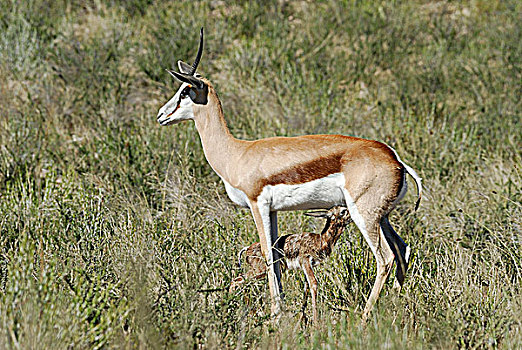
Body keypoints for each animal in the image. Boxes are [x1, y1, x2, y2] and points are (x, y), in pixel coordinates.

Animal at [156, 28, 420, 322]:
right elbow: (274, 252)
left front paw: (275, 315)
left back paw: (363, 319)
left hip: (364, 215)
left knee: (385, 258)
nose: (161, 115)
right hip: (382, 217)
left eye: (185, 91)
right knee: (402, 250)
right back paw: (393, 310)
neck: (236, 153)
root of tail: (395, 159)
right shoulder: (272, 210)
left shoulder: (257, 205)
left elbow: (268, 254)